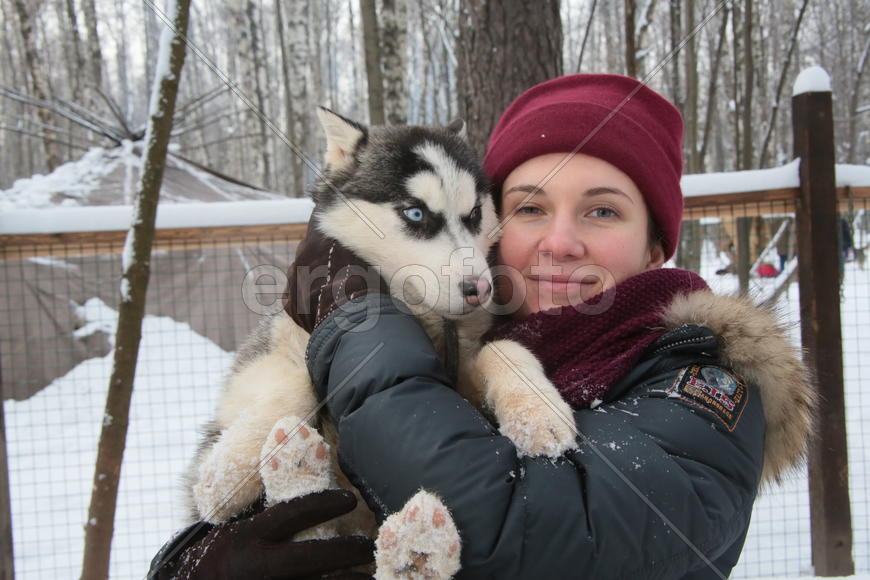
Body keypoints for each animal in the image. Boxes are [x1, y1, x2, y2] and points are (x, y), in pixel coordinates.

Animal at [187, 109, 576, 580]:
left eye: (474, 213)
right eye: (415, 212)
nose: (479, 289)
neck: (419, 315)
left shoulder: (461, 367)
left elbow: (503, 349)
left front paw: (537, 413)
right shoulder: (269, 348)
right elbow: (293, 382)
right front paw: (227, 473)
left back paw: (416, 550)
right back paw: (297, 469)